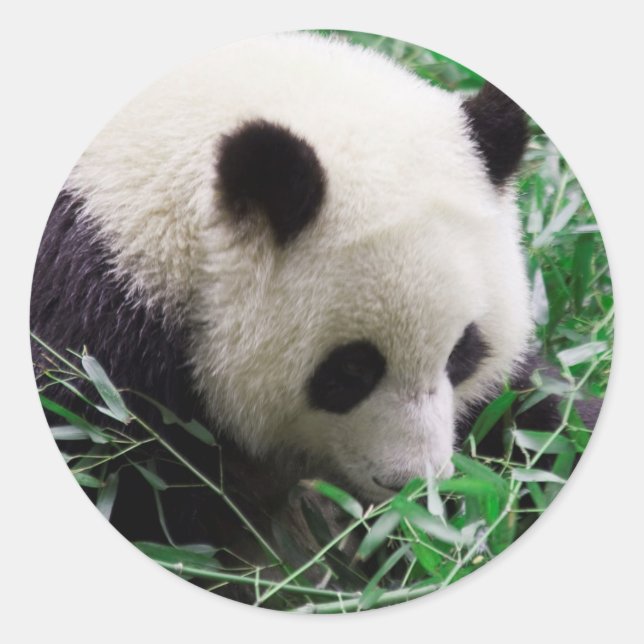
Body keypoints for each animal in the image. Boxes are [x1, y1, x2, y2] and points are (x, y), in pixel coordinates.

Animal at [30, 32, 598, 600]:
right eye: (351, 369)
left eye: (462, 354)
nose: (412, 485)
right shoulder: (97, 317)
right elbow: (123, 471)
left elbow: (536, 421)